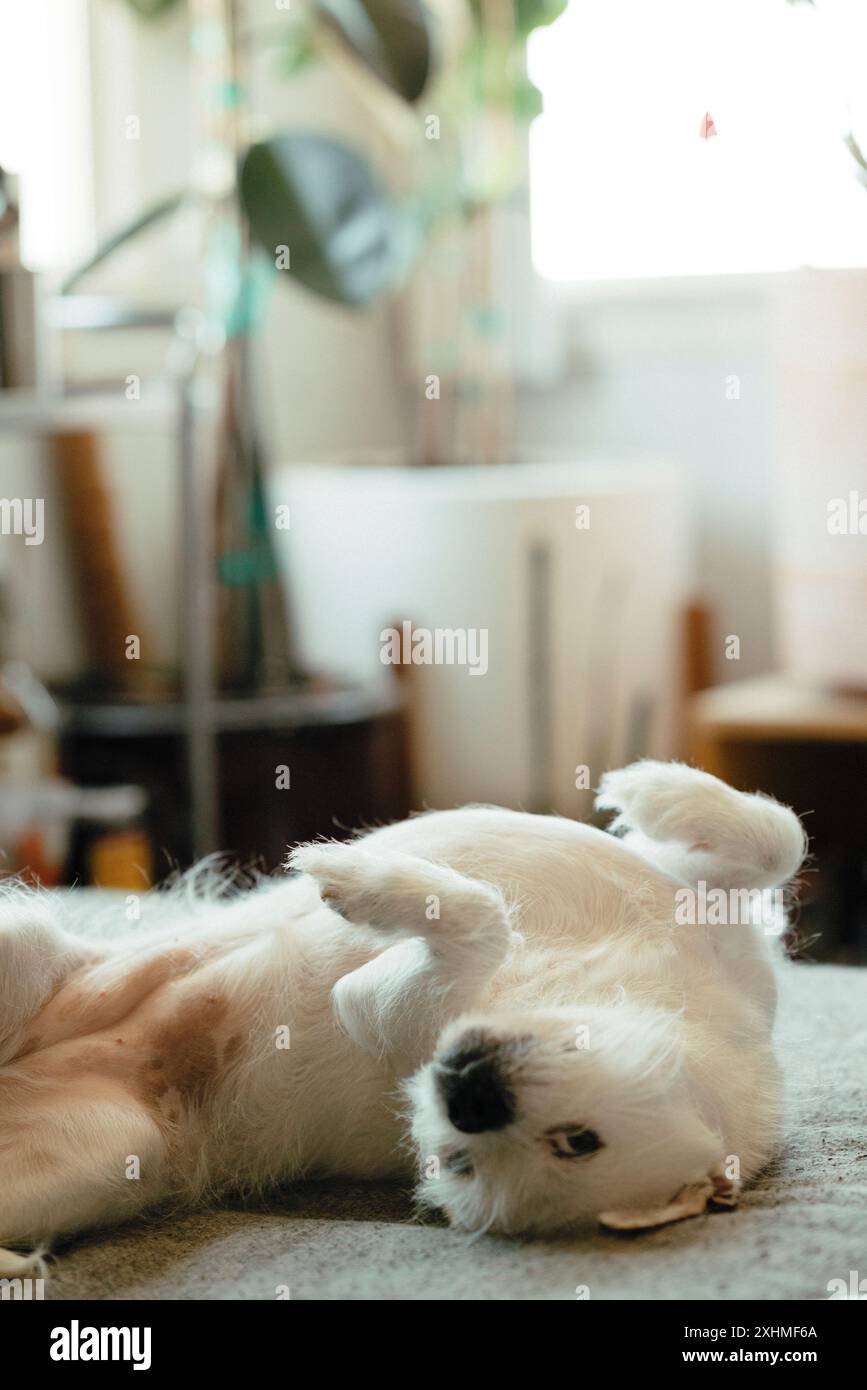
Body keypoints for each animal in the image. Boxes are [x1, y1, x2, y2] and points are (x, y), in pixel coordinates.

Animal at [0, 761, 805, 1273]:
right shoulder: (716, 917)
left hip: (111, 1151)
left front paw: (363, 885)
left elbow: (472, 931)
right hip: (25, 945)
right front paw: (648, 787)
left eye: (458, 1164)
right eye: (582, 1141)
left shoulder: (389, 1017)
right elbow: (779, 834)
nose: (468, 1098)